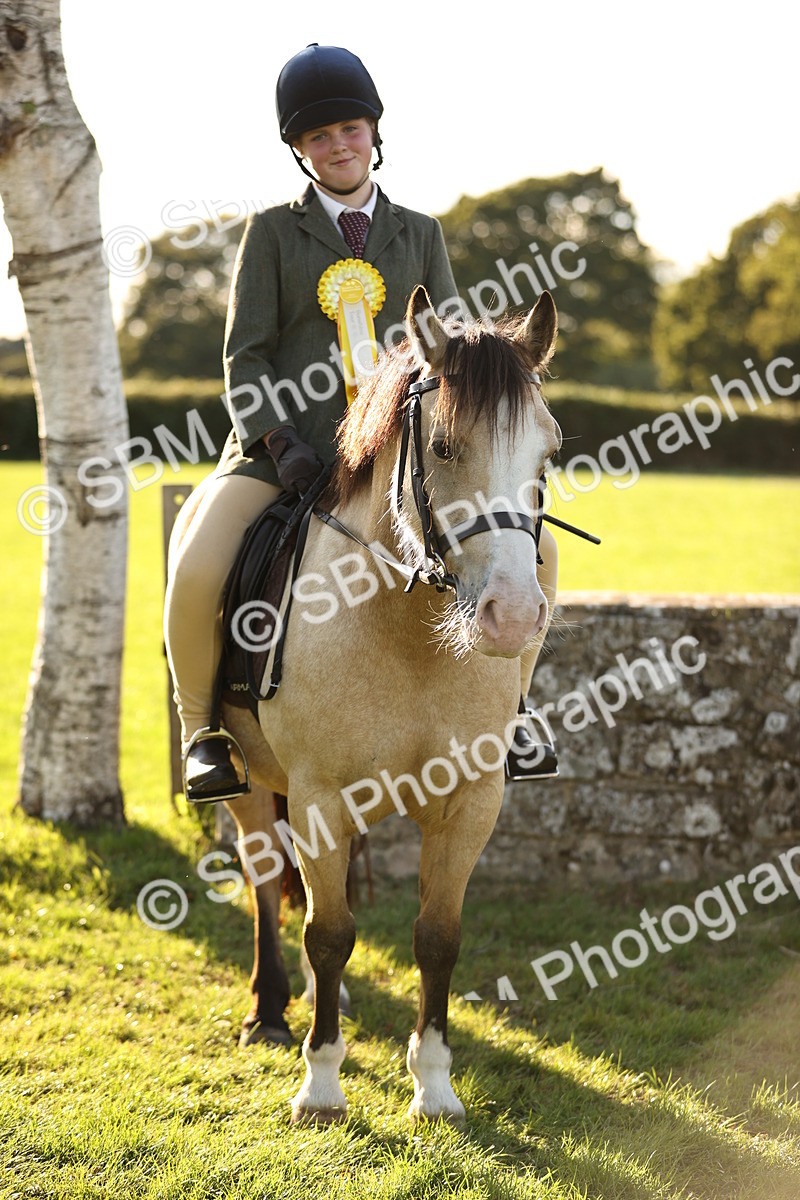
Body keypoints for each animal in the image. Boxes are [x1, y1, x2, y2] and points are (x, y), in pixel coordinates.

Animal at [221, 285, 562, 1123]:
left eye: (548, 454)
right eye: (442, 448)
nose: (513, 618)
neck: (410, 632)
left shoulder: (470, 800)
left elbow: (436, 936)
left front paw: (434, 1086)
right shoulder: (316, 794)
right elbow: (328, 933)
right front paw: (320, 1083)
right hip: (247, 778)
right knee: (266, 878)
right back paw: (271, 1010)